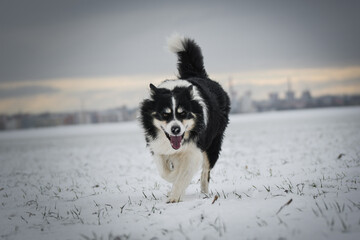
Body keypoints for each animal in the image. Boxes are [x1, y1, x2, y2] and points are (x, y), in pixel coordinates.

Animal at [139, 34, 229, 202]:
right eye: (165, 114)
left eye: (183, 113)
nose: (176, 129)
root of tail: (197, 74)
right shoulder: (157, 146)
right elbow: (165, 171)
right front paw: (172, 182)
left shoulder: (194, 150)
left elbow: (183, 173)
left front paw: (174, 198)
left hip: (213, 143)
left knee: (205, 172)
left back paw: (204, 193)